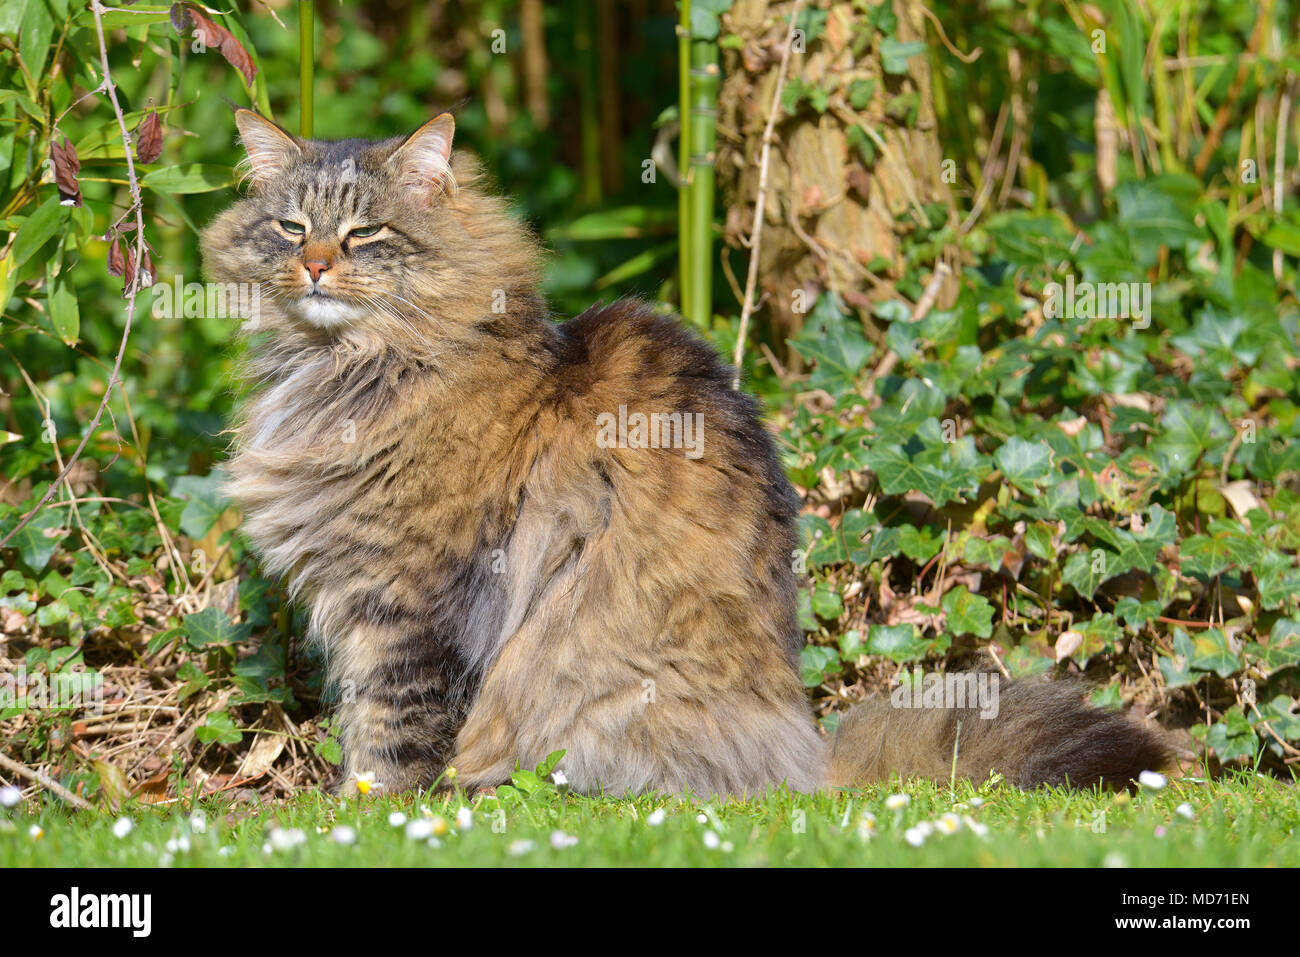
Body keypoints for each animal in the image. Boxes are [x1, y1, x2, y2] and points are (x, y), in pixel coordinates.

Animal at [202, 110, 1170, 800]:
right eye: (290, 227)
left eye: (364, 235)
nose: (316, 266)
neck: (348, 369)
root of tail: (806, 756)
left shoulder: (411, 601)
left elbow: (392, 734)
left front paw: (369, 817)